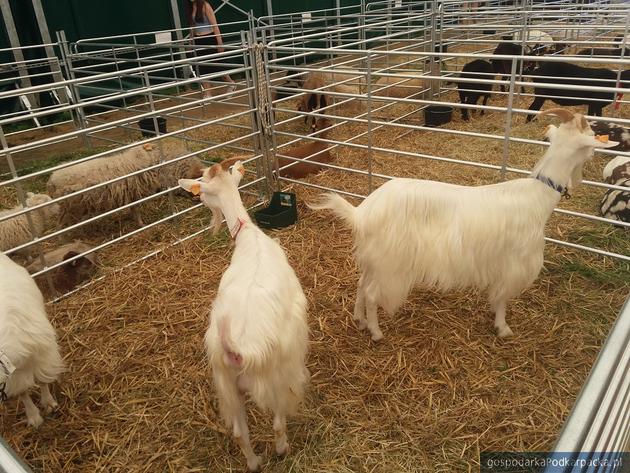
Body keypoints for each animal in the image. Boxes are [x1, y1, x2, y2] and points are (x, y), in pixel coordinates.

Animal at [47, 142, 205, 227]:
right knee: (61, 227)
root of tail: (51, 180)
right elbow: (136, 211)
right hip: (69, 208)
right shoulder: (135, 194)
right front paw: (141, 224)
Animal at [179, 158, 310, 468]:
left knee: (240, 433)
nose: (197, 200)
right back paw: (282, 449)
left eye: (203, 189)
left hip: (226, 385)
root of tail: (236, 350)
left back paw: (254, 463)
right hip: (274, 377)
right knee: (277, 423)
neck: (249, 235)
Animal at [312, 109, 624, 342]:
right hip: (391, 263)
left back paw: (360, 320)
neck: (538, 194)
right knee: (373, 293)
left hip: (373, 259)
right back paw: (376, 332)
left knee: (361, 286)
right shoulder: (513, 263)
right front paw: (503, 327)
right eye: (591, 135)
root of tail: (361, 213)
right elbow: (502, 298)